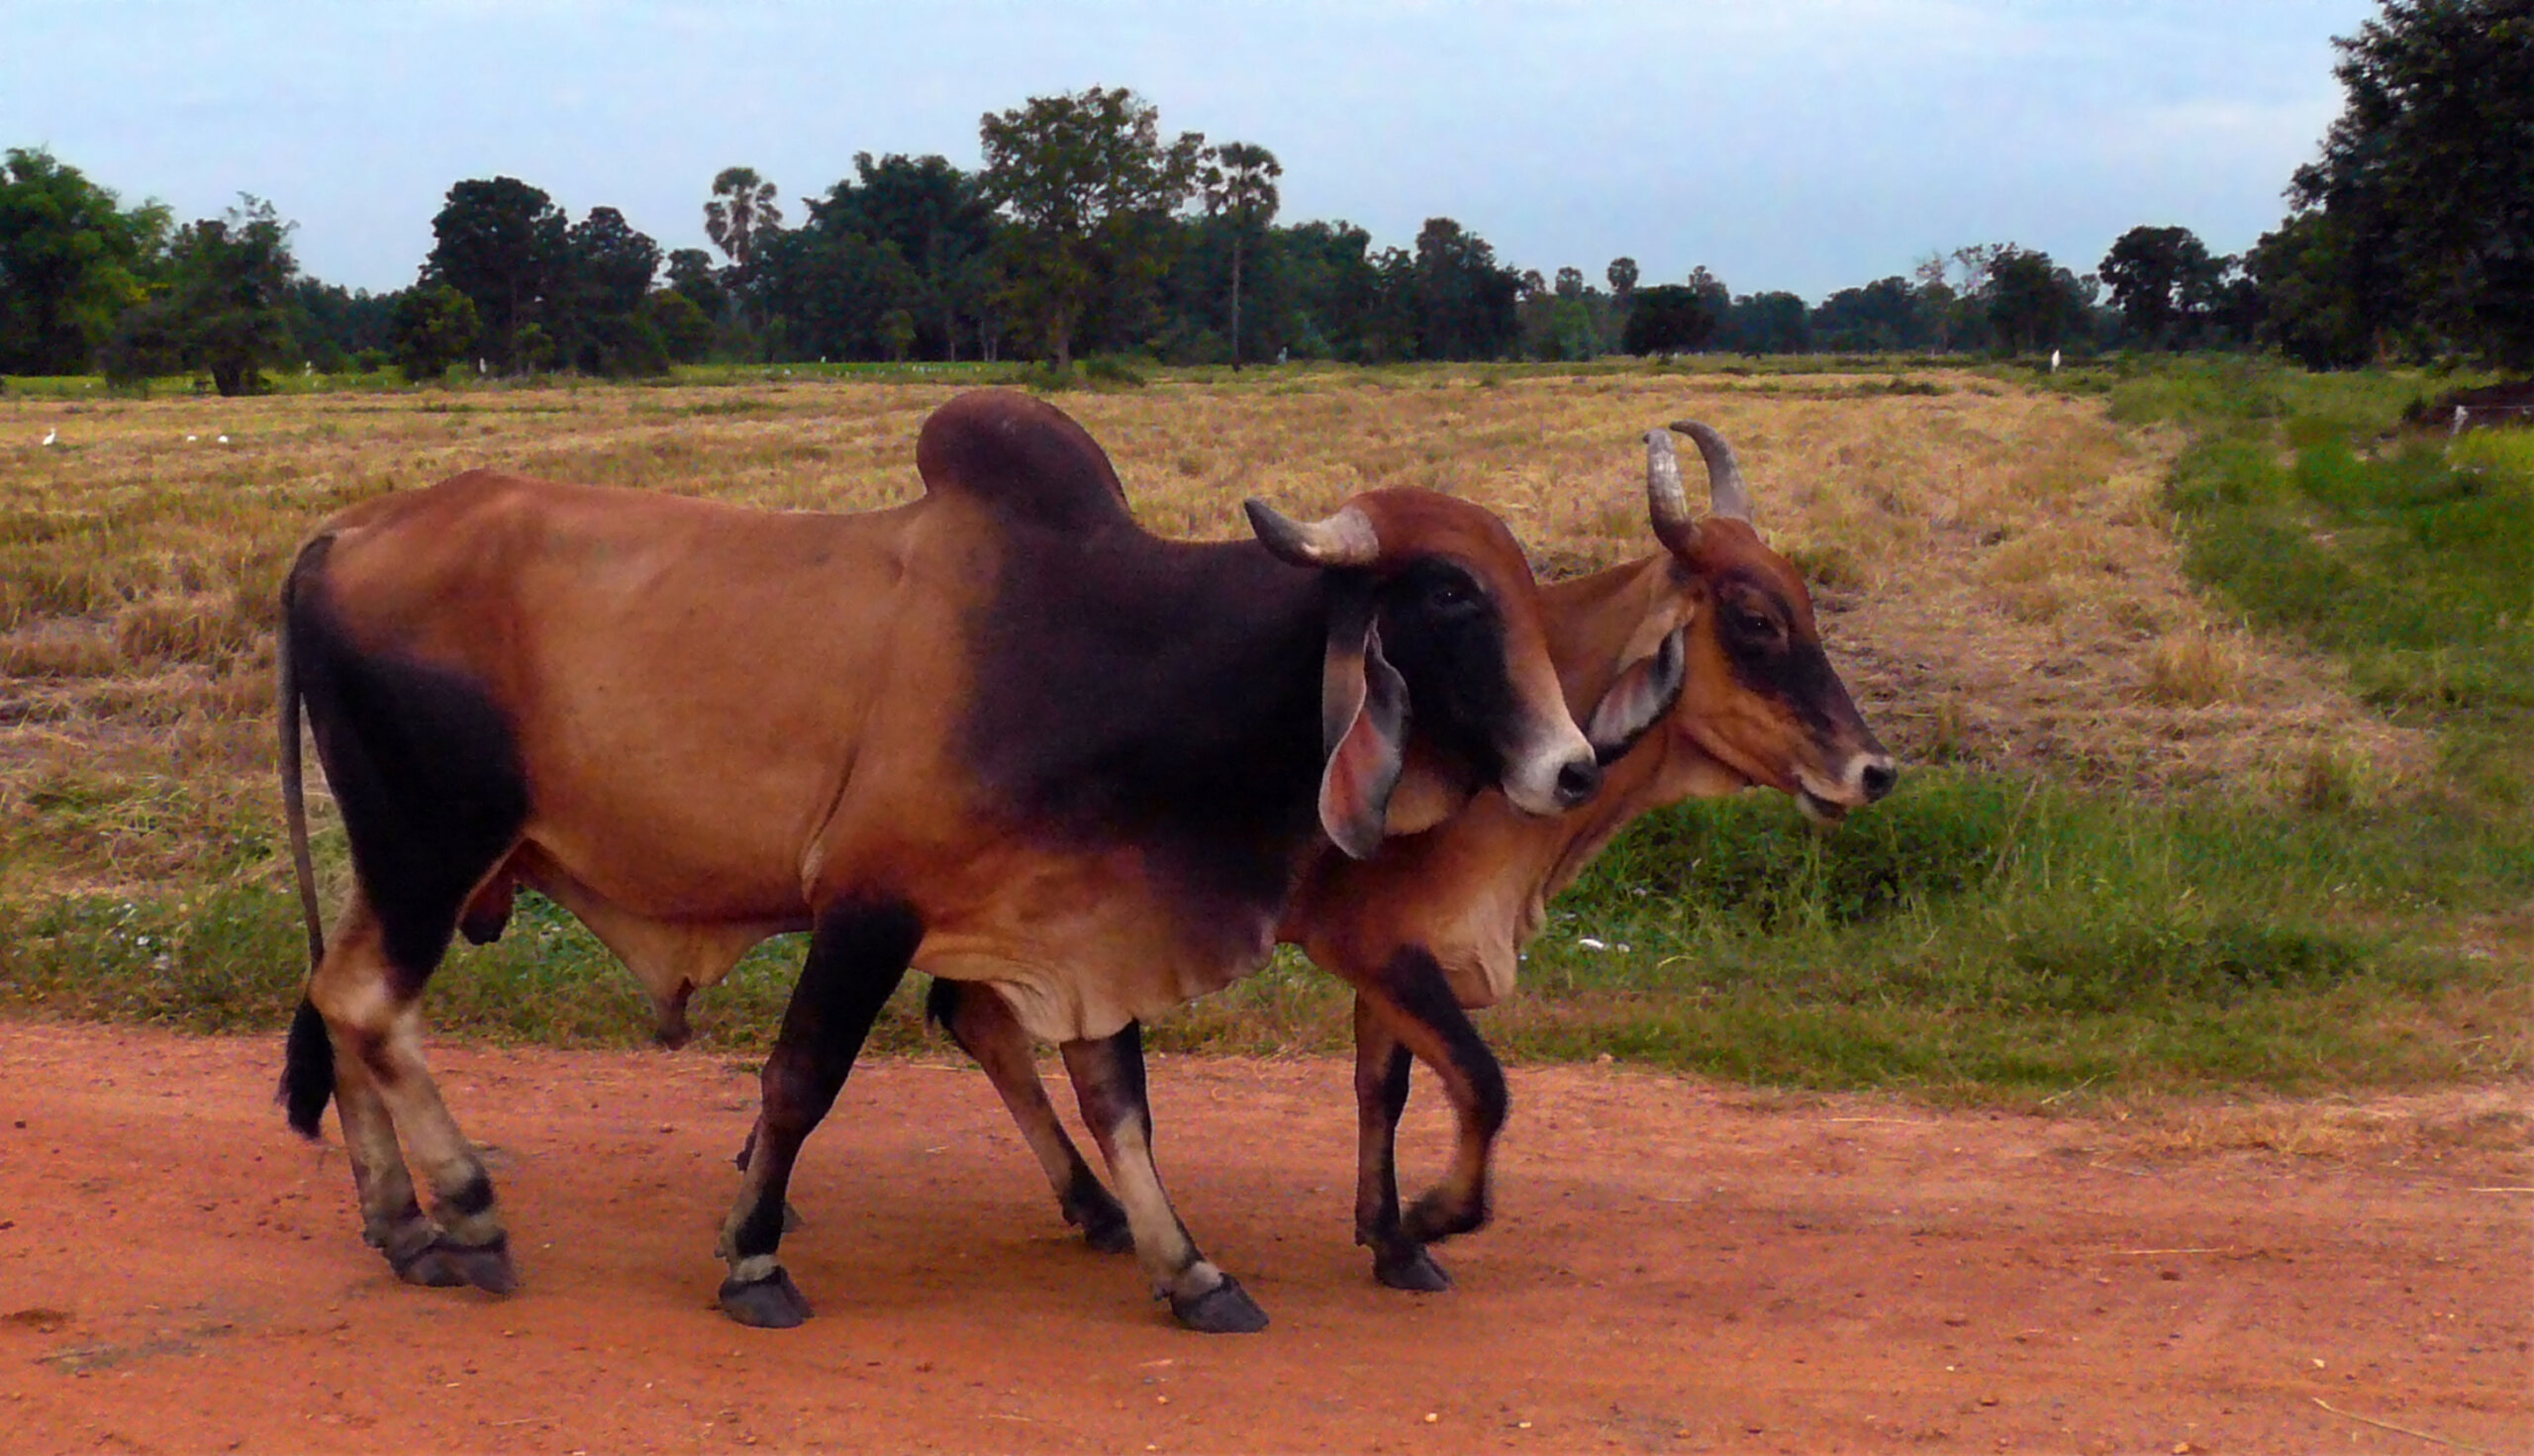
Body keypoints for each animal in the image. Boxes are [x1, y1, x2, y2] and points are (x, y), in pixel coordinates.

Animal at [282, 387, 1621, 1336]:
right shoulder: (867, 906)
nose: (1572, 767)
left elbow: (1120, 1104)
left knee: (340, 1003)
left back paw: (402, 1224)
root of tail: (341, 531)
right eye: (1448, 593)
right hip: (428, 840)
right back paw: (466, 1210)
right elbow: (799, 1080)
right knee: (369, 1004)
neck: (1104, 641)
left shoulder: (1085, 918)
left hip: (405, 856)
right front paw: (753, 1255)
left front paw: (1189, 1267)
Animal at [922, 418, 1895, 1286]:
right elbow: (1481, 1083)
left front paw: (1389, 1238)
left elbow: (1385, 1087)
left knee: (982, 1022)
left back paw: (1099, 1208)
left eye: (1806, 604)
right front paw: (1431, 1216)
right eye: (1755, 618)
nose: (1874, 770)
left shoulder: (1399, 950)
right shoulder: (1378, 944)